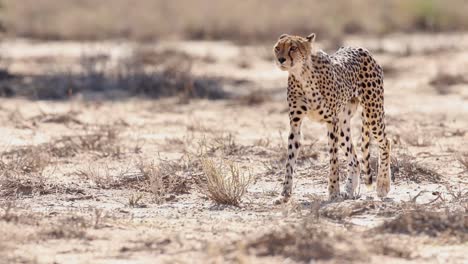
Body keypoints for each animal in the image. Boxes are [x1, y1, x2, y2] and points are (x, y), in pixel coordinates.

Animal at [272, 32, 394, 202]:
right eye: (277, 48)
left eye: (293, 48)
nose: (281, 59)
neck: (302, 75)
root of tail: (359, 48)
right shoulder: (295, 123)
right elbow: (289, 161)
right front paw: (284, 195)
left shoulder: (331, 122)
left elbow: (334, 160)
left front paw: (333, 191)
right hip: (343, 125)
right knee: (355, 159)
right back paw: (348, 190)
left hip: (372, 112)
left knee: (385, 142)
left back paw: (383, 185)